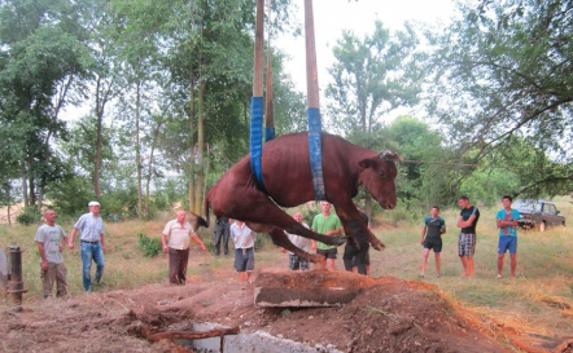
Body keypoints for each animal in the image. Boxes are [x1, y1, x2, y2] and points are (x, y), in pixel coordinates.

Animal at [197, 131, 398, 262]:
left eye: (394, 174)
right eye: (382, 173)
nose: (392, 203)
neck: (344, 158)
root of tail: (212, 190)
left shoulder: (339, 199)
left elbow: (346, 220)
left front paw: (354, 242)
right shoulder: (341, 196)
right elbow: (357, 218)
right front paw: (376, 242)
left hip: (257, 219)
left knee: (281, 237)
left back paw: (314, 257)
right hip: (261, 206)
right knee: (293, 226)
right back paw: (333, 241)